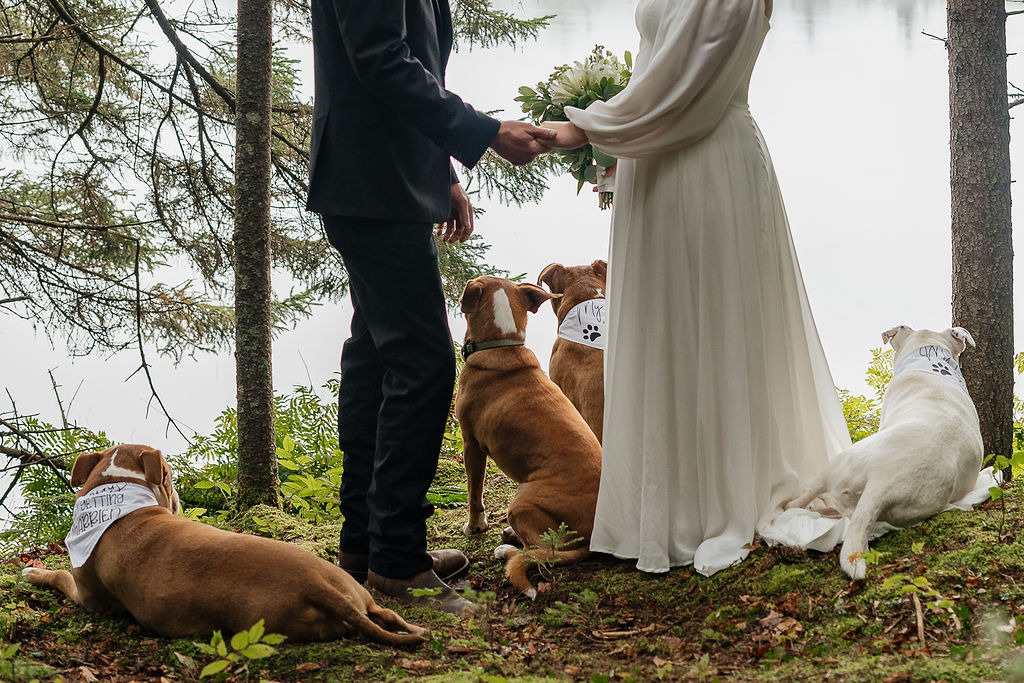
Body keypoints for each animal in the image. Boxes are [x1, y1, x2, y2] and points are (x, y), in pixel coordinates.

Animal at [20, 444, 428, 647]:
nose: (178, 499)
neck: (117, 490)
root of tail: (316, 585)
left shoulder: (87, 596)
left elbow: (58, 576)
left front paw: (34, 571)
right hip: (353, 589)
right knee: (387, 614)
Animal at [454, 276, 598, 598]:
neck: (502, 343)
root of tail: (594, 541)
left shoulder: (471, 445)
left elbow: (474, 493)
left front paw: (475, 526)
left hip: (520, 500)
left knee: (545, 550)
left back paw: (507, 550)